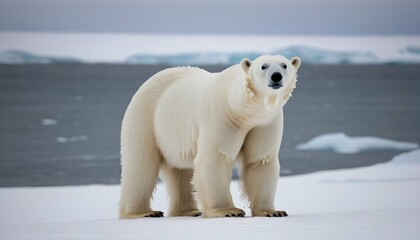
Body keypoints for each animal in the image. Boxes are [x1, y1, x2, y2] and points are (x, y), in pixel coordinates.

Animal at [120, 54, 300, 218]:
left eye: (284, 65)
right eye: (263, 66)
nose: (276, 76)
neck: (242, 111)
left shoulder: (264, 123)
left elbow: (260, 161)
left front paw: (272, 212)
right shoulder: (220, 117)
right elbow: (215, 158)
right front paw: (229, 211)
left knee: (180, 170)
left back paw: (189, 211)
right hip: (145, 118)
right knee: (141, 164)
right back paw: (143, 212)